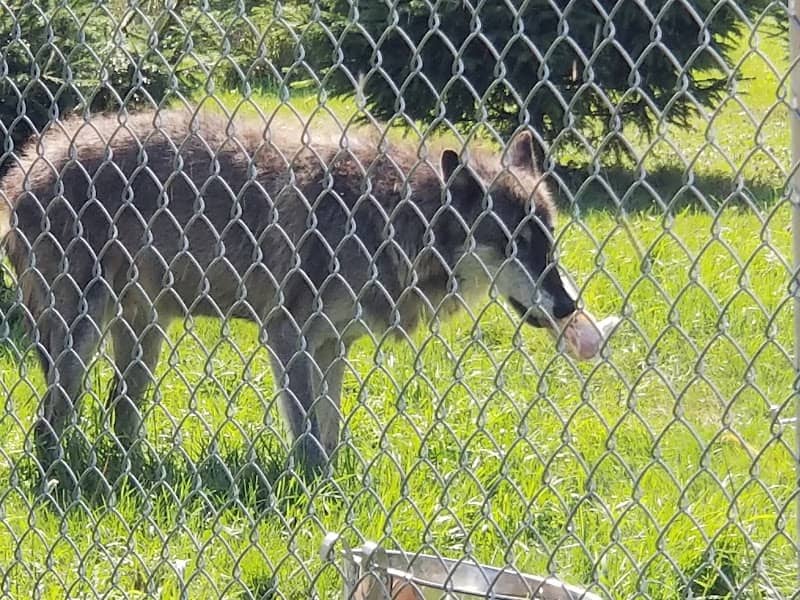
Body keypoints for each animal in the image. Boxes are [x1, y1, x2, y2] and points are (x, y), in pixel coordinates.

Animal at [0, 107, 589, 476]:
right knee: (49, 423)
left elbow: (329, 429)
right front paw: (313, 492)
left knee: (118, 412)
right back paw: (67, 477)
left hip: (144, 335)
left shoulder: (333, 346)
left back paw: (131, 470)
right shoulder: (287, 337)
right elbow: (306, 435)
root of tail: (26, 167)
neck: (393, 219)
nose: (568, 304)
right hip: (80, 341)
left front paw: (330, 483)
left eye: (548, 237)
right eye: (513, 243)